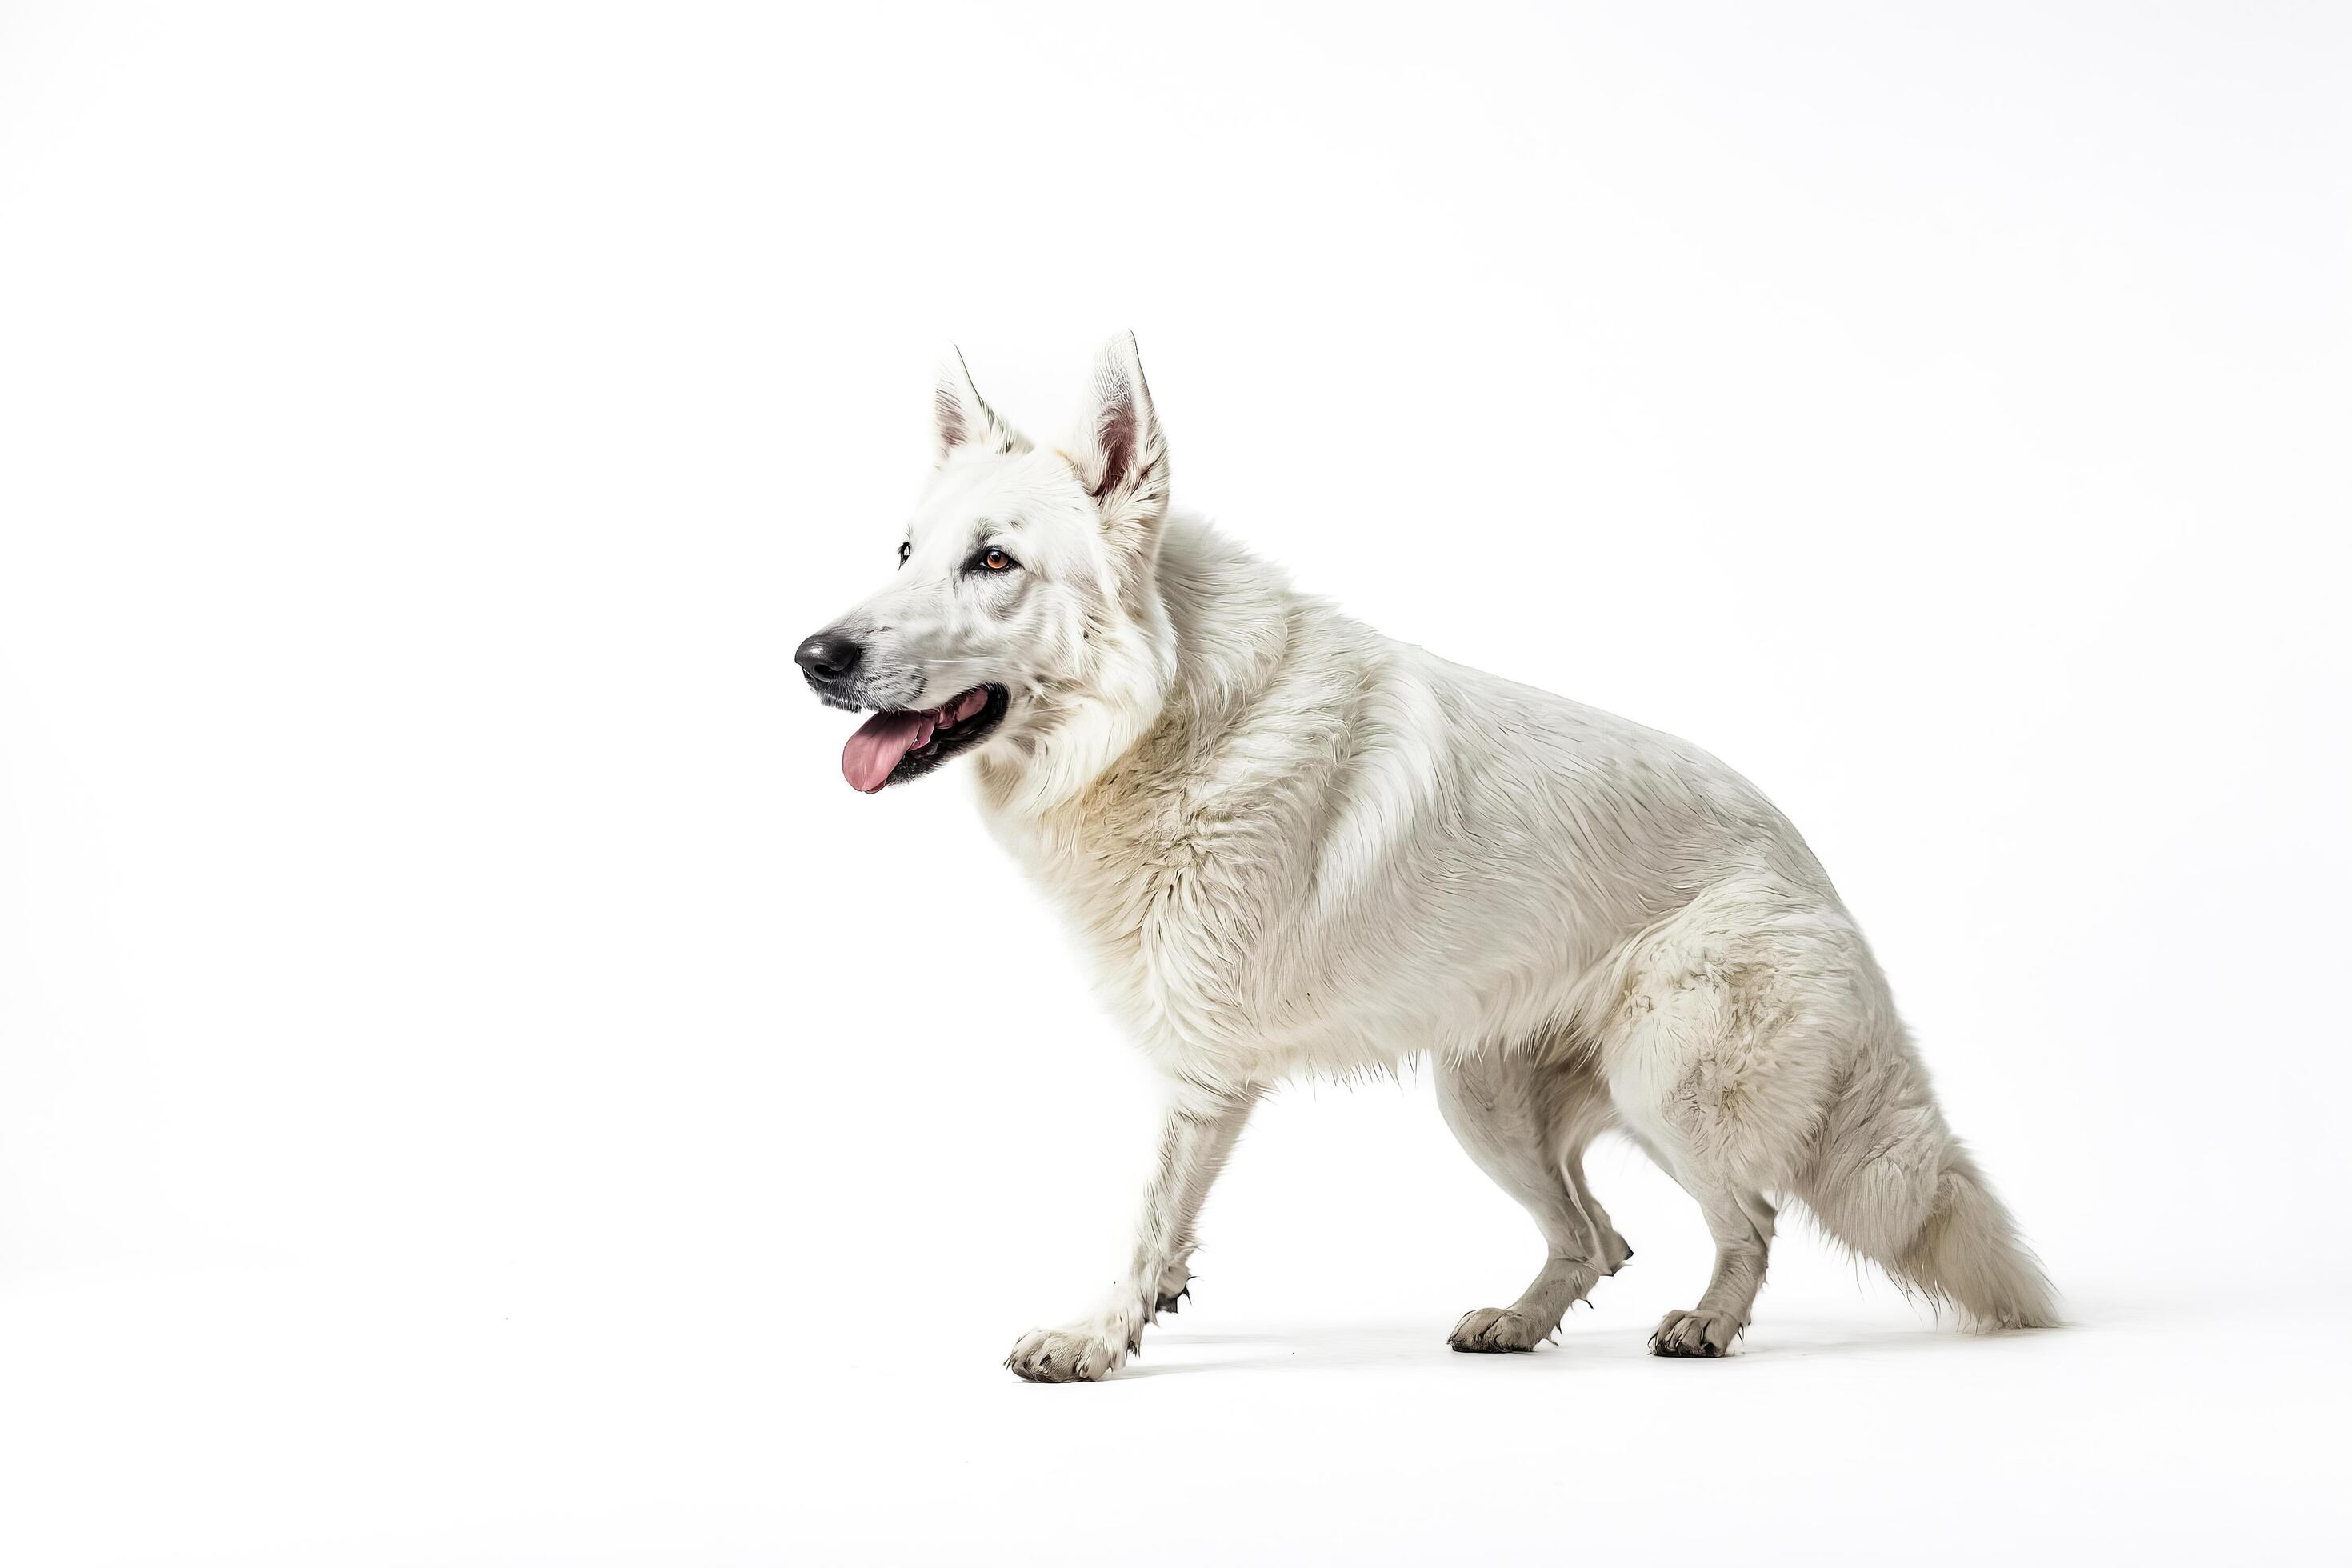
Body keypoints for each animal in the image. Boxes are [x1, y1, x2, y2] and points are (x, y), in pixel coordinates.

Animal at [799, 334, 2050, 1382]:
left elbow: (1144, 1215)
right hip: (1482, 1103)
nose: (814, 656)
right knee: (1599, 1238)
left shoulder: (1201, 1075)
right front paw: (1151, 1307)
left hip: (1666, 1085)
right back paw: (1519, 1323)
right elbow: (1166, 1230)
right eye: (904, 551)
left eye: (994, 563)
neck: (1169, 717)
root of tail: (1816, 871)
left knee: (1746, 1220)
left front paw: (1097, 1338)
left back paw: (1706, 1325)